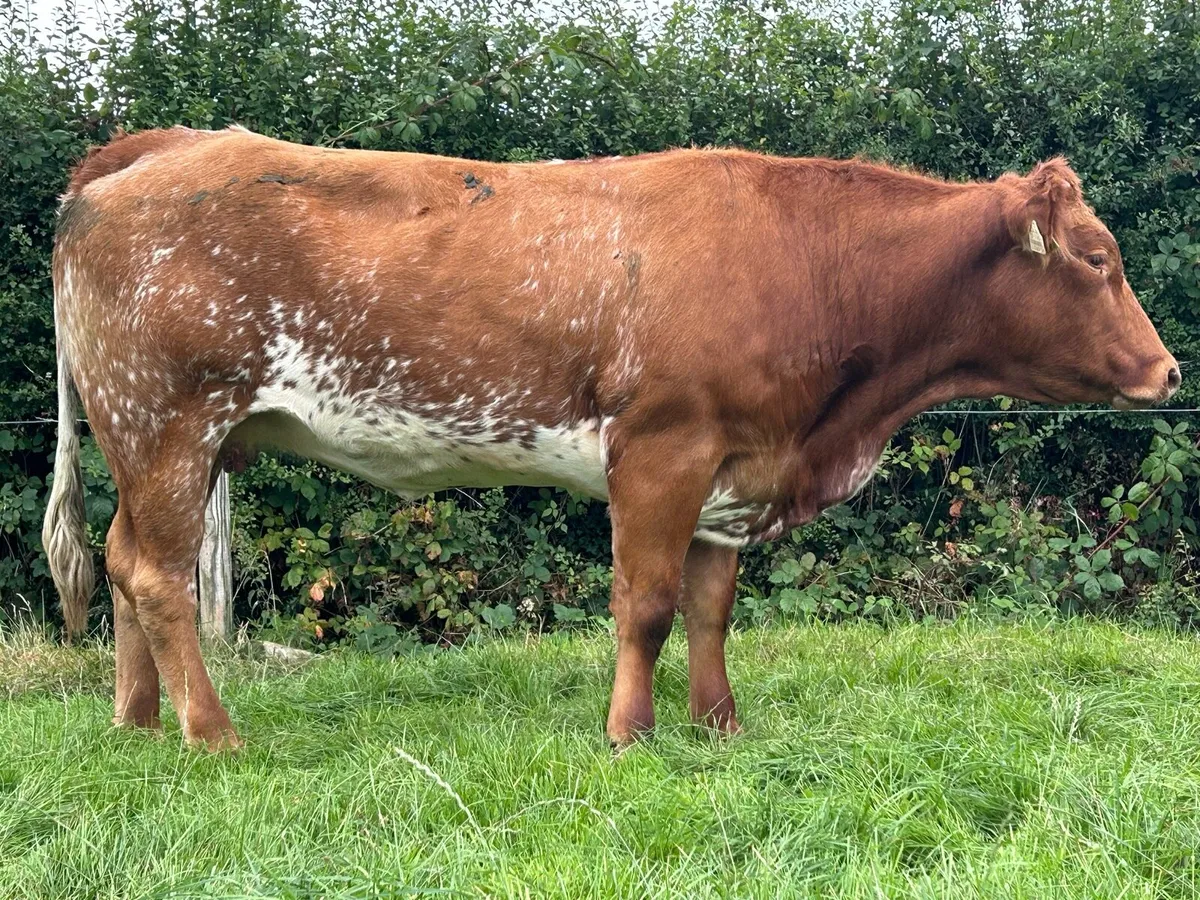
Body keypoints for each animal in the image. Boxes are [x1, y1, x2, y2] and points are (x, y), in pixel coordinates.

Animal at [42, 126, 1179, 749]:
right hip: (167, 420)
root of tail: (164, 145)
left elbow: (713, 611)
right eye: (1096, 257)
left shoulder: (735, 467)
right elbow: (647, 603)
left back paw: (136, 721)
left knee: (123, 559)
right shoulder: (662, 449)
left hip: (161, 440)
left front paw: (718, 725)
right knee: (158, 576)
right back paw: (211, 733)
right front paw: (631, 732)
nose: (1169, 371)